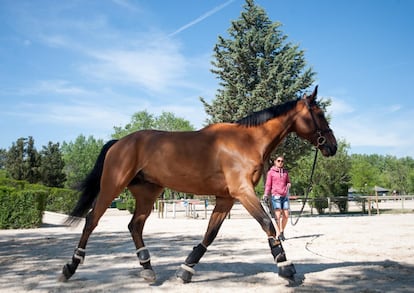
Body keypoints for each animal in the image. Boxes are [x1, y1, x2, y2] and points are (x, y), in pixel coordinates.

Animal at [59, 86, 336, 282]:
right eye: (320, 114)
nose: (332, 146)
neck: (246, 141)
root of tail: (120, 142)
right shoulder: (242, 192)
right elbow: (268, 224)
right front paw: (286, 266)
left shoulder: (226, 198)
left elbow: (210, 234)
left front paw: (186, 269)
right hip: (112, 187)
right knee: (92, 220)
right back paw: (70, 267)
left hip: (147, 194)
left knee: (134, 225)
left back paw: (147, 268)